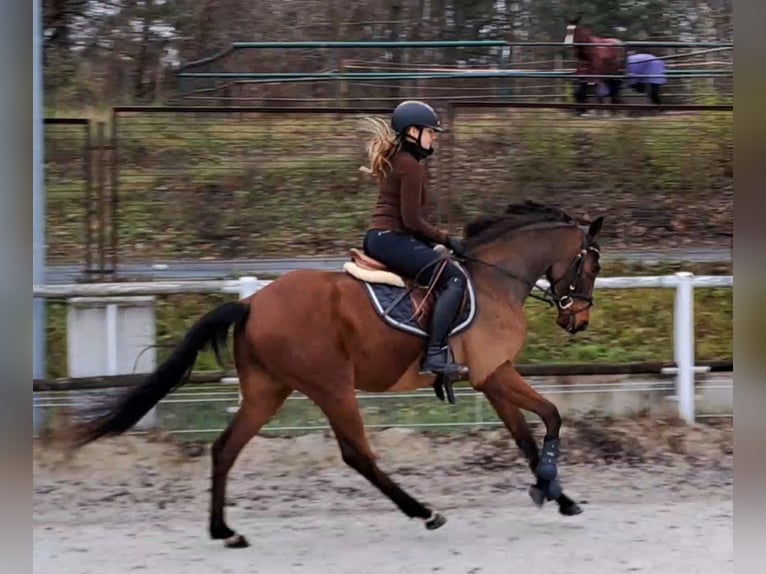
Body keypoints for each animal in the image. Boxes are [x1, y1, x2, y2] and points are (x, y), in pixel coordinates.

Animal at [67, 201, 608, 548]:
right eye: (591, 265)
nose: (578, 320)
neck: (495, 278)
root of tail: (251, 304)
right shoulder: (493, 375)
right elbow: (552, 416)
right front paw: (550, 488)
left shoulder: (492, 375)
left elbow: (526, 436)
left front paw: (556, 494)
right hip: (332, 386)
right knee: (357, 455)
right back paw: (424, 512)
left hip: (268, 391)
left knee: (225, 447)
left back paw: (225, 531)